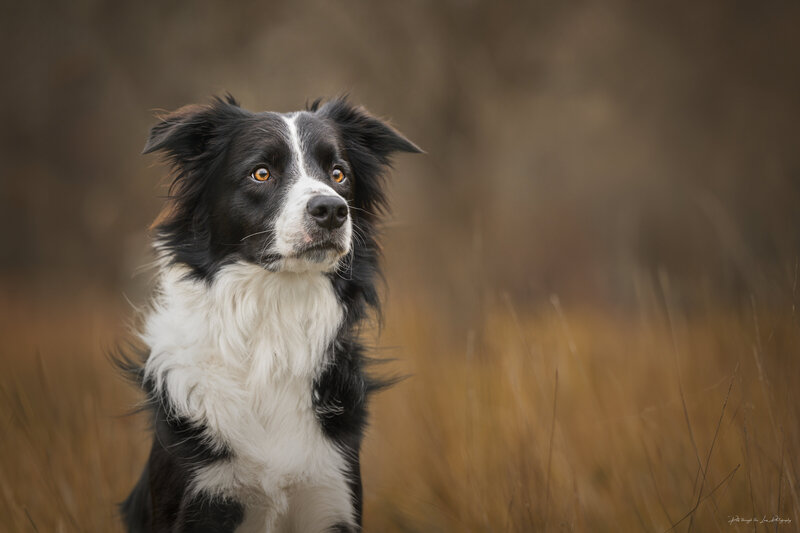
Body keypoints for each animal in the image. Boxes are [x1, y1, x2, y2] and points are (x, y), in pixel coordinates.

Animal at [120, 96, 418, 532]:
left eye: (338, 174)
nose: (332, 210)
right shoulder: (201, 499)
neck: (274, 319)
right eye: (261, 172)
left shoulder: (331, 495)